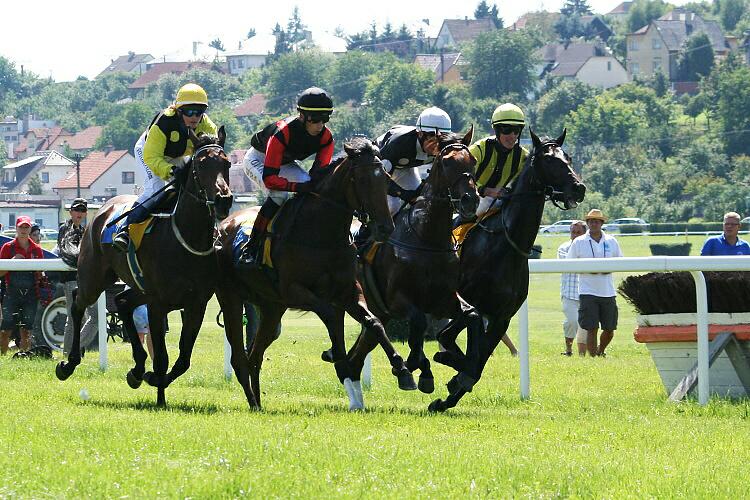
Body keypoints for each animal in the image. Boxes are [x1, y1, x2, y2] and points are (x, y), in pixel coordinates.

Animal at [56, 128, 234, 406]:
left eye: (226, 163)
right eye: (201, 165)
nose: (223, 200)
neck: (185, 238)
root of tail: (100, 212)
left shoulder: (196, 304)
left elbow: (183, 359)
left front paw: (151, 379)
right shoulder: (158, 304)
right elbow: (161, 357)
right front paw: (159, 396)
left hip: (139, 288)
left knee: (123, 303)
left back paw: (138, 368)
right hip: (94, 277)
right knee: (77, 302)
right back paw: (68, 364)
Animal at [217, 138, 418, 410]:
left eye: (386, 179)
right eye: (362, 180)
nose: (385, 228)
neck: (322, 234)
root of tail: (225, 224)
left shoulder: (348, 292)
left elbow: (374, 322)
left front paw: (402, 370)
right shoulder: (296, 291)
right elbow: (332, 320)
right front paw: (341, 363)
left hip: (272, 307)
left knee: (255, 356)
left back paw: (257, 403)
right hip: (231, 298)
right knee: (239, 358)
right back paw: (253, 401)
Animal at [360, 129, 484, 394]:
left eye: (473, 161)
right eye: (446, 163)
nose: (470, 200)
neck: (427, 238)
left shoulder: (443, 298)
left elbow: (472, 314)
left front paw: (464, 368)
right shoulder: (398, 299)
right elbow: (417, 328)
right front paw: (420, 368)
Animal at [428, 129, 588, 410]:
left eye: (567, 157)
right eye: (548, 159)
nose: (578, 187)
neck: (504, 245)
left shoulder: (502, 316)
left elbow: (477, 364)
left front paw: (449, 393)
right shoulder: (464, 303)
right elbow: (452, 342)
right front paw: (451, 371)